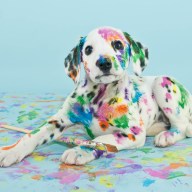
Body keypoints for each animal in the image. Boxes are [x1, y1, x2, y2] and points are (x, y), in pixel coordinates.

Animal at [0, 27, 192, 166]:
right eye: (88, 49)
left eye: (118, 45)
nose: (104, 63)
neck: (99, 97)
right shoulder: (58, 121)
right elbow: (31, 135)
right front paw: (11, 151)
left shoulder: (133, 134)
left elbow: (101, 140)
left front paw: (79, 151)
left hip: (162, 83)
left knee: (182, 127)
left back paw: (167, 136)